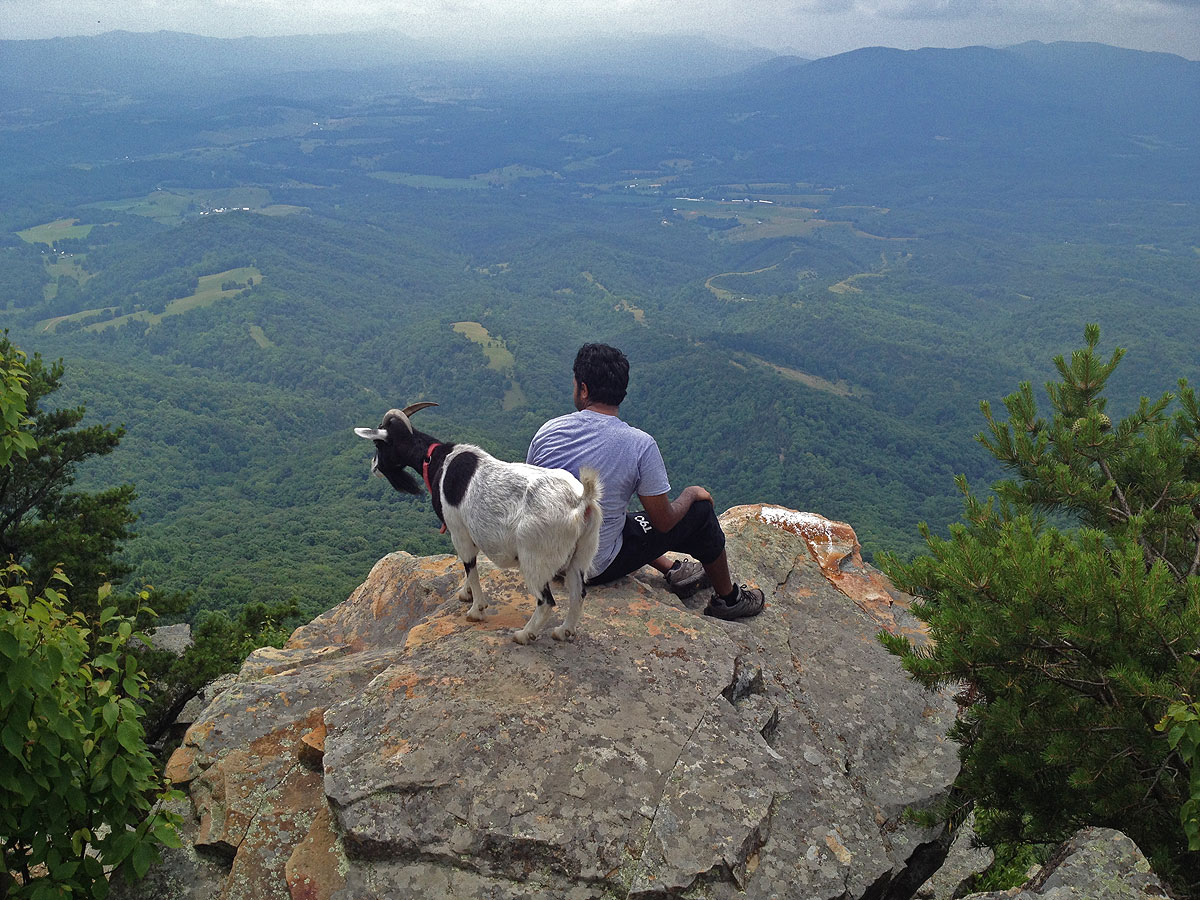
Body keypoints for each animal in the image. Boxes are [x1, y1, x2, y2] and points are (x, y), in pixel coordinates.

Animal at [354, 404, 603, 644]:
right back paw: (563, 631)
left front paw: (476, 610)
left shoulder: (458, 530)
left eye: (378, 444)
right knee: (578, 594)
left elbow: (469, 565)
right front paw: (466, 594)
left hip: (536, 556)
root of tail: (580, 501)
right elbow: (468, 566)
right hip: (582, 553)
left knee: (546, 601)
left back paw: (523, 635)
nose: (373, 466)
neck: (437, 461)